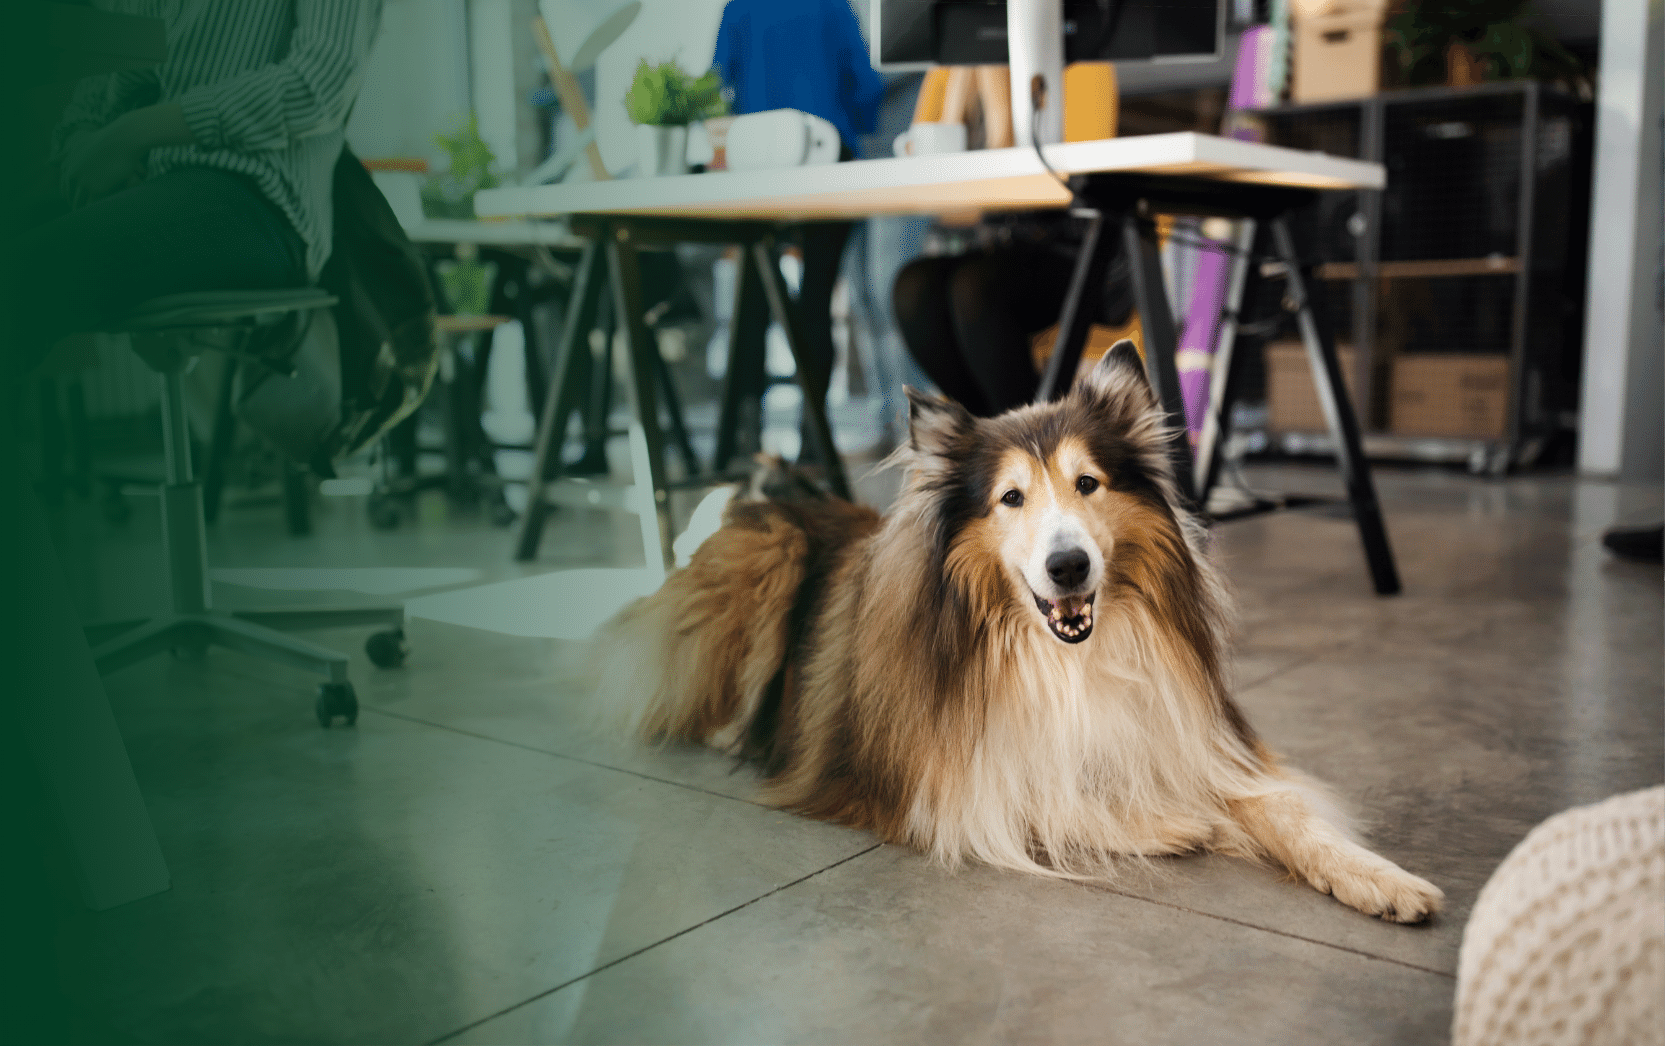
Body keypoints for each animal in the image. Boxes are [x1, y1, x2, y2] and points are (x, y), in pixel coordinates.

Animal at [599, 343, 1445, 926]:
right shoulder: (942, 783)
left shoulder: (1195, 739)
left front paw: (1379, 877)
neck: (1061, 657)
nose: (1068, 566)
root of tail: (758, 500)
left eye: (1087, 483)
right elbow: (1041, 797)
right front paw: (1177, 822)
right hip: (765, 559)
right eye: (1010, 498)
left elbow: (1285, 811)